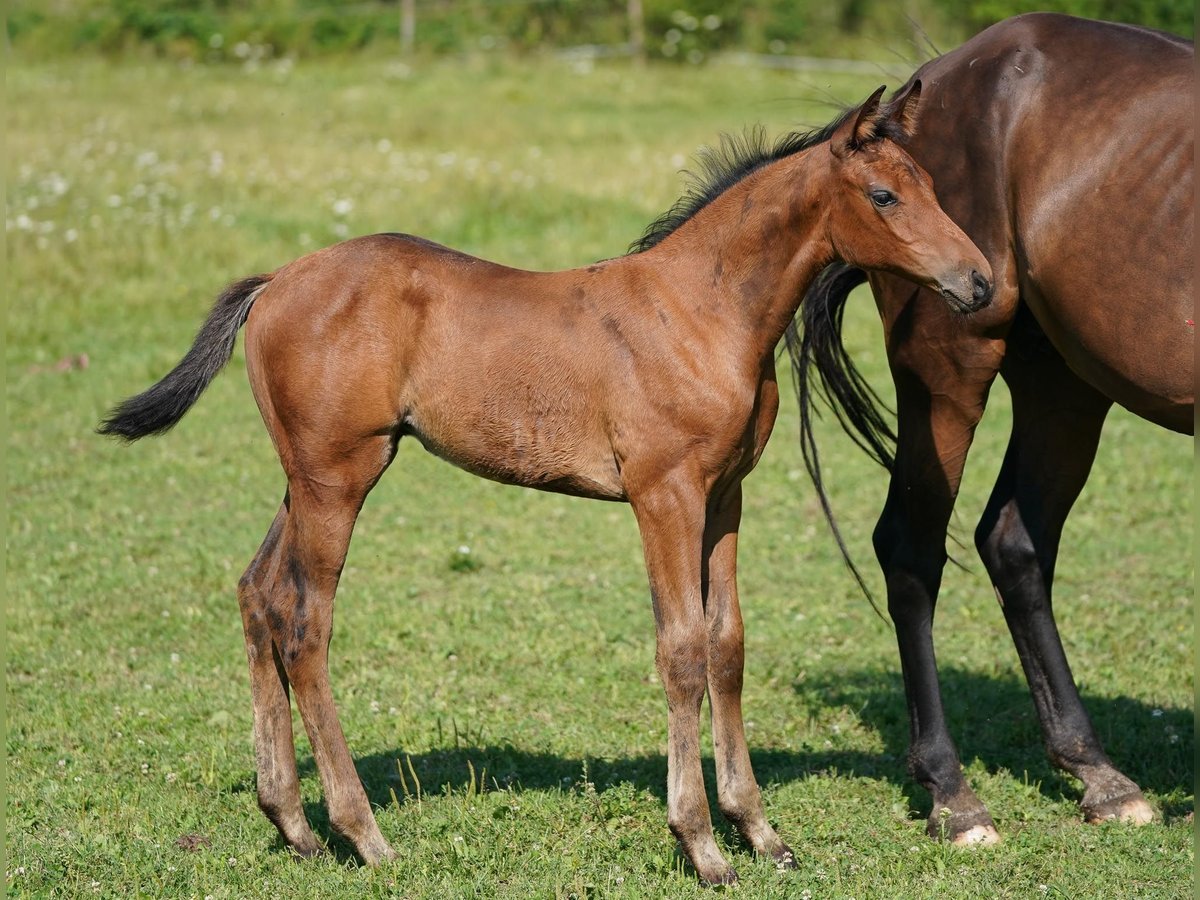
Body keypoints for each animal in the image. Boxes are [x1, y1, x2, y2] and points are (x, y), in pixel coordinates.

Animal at [100, 88, 993, 883]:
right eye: (883, 195)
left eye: (933, 185)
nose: (981, 283)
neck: (703, 312)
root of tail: (276, 280)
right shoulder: (664, 494)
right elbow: (682, 651)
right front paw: (701, 845)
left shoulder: (725, 494)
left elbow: (728, 644)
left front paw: (762, 833)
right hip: (337, 476)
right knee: (304, 625)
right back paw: (365, 835)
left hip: (314, 474)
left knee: (258, 593)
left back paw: (293, 824)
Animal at [787, 10, 1190, 849]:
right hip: (950, 369)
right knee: (911, 546)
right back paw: (952, 792)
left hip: (1061, 383)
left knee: (1013, 542)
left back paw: (1098, 775)